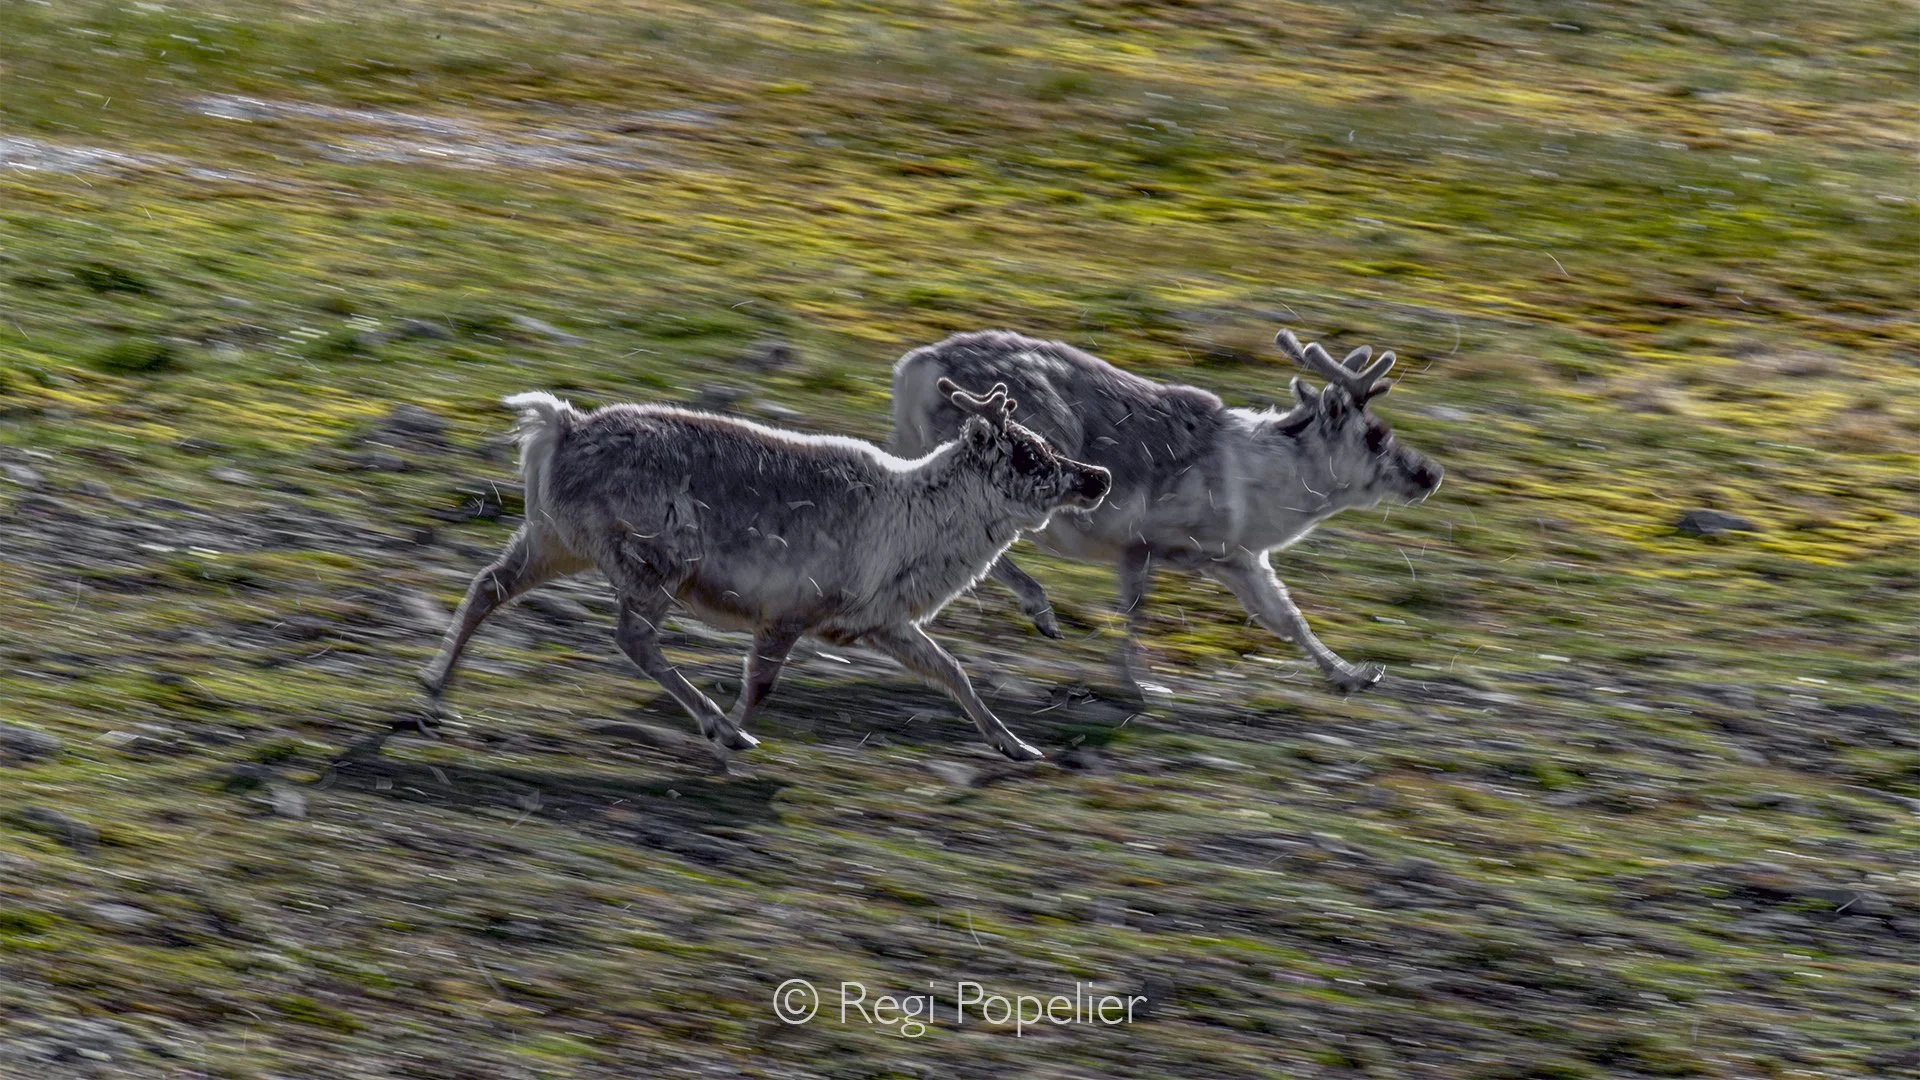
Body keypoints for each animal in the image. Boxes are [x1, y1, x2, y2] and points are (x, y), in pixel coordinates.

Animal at [420, 381, 1111, 761]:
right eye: (1029, 454)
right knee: (633, 638)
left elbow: (955, 673)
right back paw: (721, 730)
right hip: (654, 561)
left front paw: (1016, 744)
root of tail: (561, 425)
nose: (1097, 477)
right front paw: (734, 736)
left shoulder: (880, 622)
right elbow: (760, 685)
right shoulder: (789, 612)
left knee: (488, 586)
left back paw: (434, 692)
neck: (918, 521)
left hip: (553, 539)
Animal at [891, 328, 1442, 697]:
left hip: (911, 450)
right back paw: (1040, 609)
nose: (1430, 473)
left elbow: (1289, 620)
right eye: (1375, 437)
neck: (1266, 480)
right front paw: (1138, 683)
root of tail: (914, 366)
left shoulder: (1238, 559)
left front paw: (1356, 675)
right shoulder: (1143, 543)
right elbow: (1135, 611)